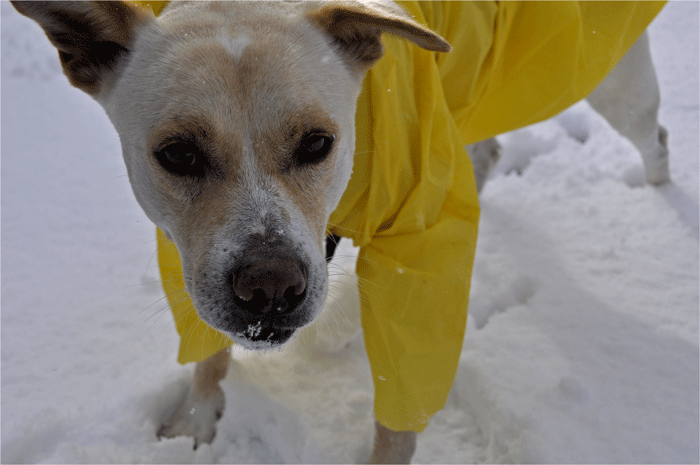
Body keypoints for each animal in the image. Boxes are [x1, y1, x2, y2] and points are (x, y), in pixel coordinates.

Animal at [10, 1, 668, 462]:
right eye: (178, 153)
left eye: (317, 143)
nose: (270, 288)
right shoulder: (181, 250)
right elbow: (208, 350)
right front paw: (197, 419)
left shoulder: (419, 250)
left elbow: (401, 404)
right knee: (487, 145)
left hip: (612, 78)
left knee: (652, 132)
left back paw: (661, 200)